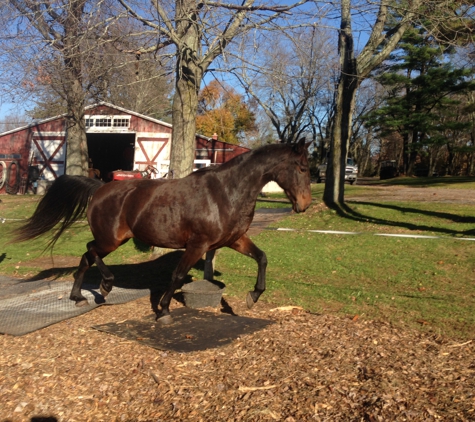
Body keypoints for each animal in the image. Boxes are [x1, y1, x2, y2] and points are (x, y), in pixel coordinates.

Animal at [13, 138, 312, 324]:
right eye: (301, 167)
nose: (305, 204)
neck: (226, 192)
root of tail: (99, 188)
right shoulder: (197, 245)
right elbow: (177, 275)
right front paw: (164, 311)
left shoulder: (234, 240)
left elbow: (262, 258)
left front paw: (253, 296)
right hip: (110, 240)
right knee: (89, 251)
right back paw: (105, 284)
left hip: (113, 240)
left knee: (86, 257)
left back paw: (79, 297)